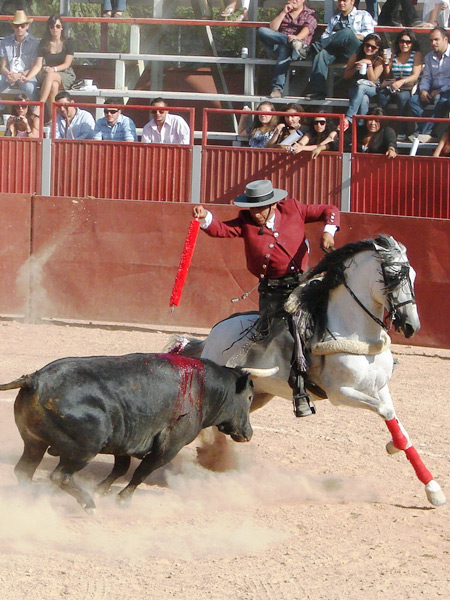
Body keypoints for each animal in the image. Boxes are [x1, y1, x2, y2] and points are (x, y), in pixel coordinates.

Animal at [0, 352, 255, 510]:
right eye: (250, 398)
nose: (248, 433)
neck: (203, 388)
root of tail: (35, 379)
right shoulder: (169, 448)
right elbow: (141, 472)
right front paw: (122, 499)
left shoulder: (124, 443)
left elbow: (121, 468)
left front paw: (101, 489)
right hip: (83, 450)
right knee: (60, 476)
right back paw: (89, 504)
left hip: (34, 443)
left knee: (24, 471)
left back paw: (32, 498)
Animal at [172, 234, 446, 506]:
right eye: (391, 276)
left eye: (413, 276)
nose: (411, 325)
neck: (355, 331)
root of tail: (212, 336)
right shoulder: (340, 393)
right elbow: (385, 411)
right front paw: (394, 449)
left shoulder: (380, 387)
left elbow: (397, 423)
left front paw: (432, 487)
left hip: (258, 395)